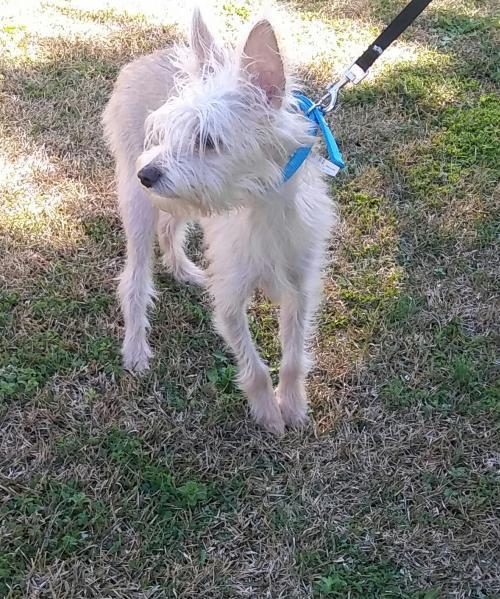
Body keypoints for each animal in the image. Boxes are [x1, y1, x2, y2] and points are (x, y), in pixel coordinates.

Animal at [102, 8, 338, 436]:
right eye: (166, 133)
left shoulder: (301, 290)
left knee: (169, 228)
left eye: (208, 140)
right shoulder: (229, 300)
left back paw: (184, 271)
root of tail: (141, 59)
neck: (259, 207)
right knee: (134, 279)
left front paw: (293, 406)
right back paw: (136, 348)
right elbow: (255, 367)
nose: (148, 173)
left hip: (180, 199)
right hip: (140, 205)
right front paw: (268, 414)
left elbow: (294, 357)